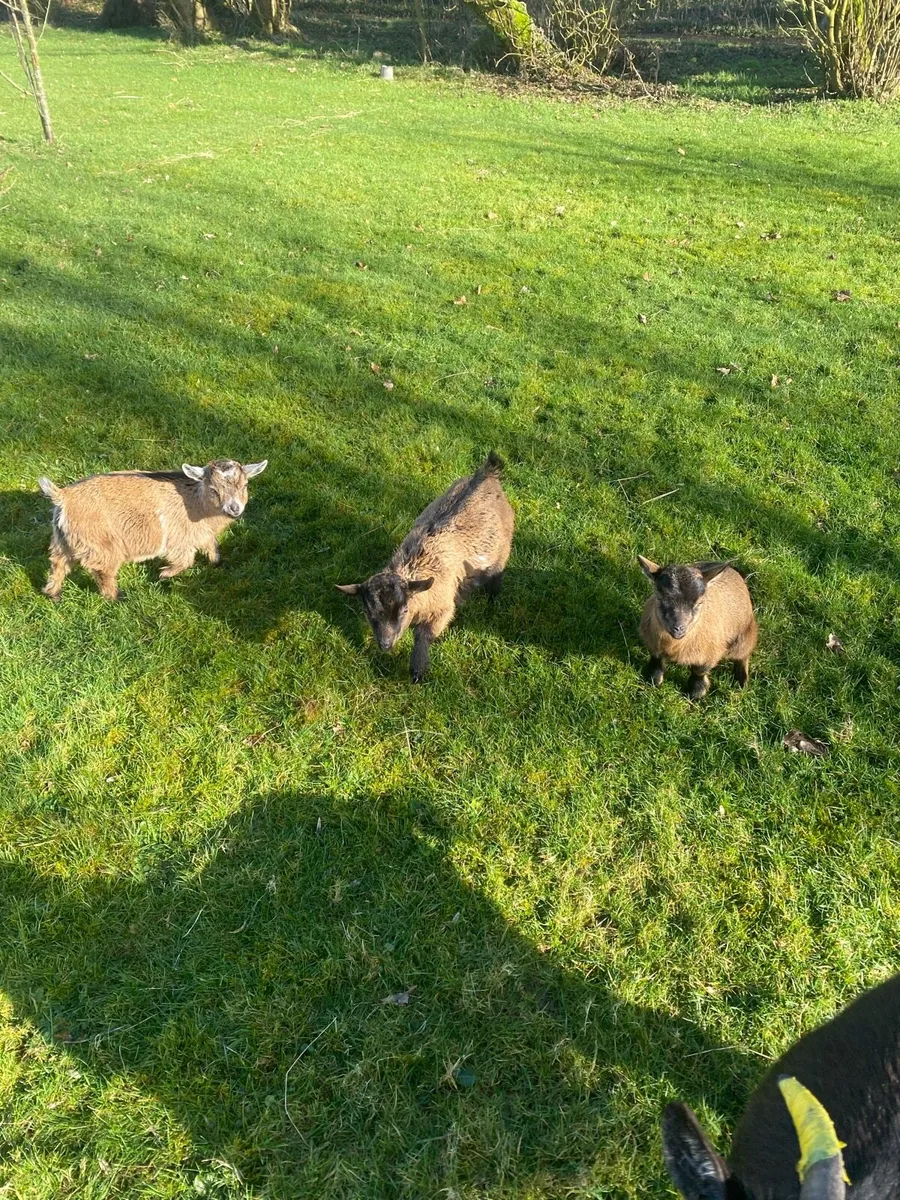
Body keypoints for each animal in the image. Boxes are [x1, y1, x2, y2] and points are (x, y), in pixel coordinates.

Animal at [39, 459, 267, 601]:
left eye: (245, 485)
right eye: (213, 489)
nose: (235, 508)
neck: (196, 502)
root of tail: (63, 497)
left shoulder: (202, 534)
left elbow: (212, 547)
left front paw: (216, 564)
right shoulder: (179, 538)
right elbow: (186, 560)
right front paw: (164, 574)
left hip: (64, 539)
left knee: (58, 564)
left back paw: (53, 594)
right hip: (102, 543)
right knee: (103, 570)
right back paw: (117, 597)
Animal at [337, 452, 514, 682]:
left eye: (404, 610)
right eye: (368, 611)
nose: (385, 645)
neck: (414, 564)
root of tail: (487, 473)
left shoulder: (443, 608)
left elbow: (423, 635)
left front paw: (417, 671)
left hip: (502, 552)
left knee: (496, 576)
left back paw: (492, 600)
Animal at [638, 556, 757, 699]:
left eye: (699, 602)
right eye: (660, 598)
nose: (678, 627)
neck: (673, 645)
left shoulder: (709, 654)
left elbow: (699, 672)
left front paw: (695, 694)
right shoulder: (652, 643)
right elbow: (657, 662)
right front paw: (653, 681)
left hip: (744, 637)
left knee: (743, 656)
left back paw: (741, 681)